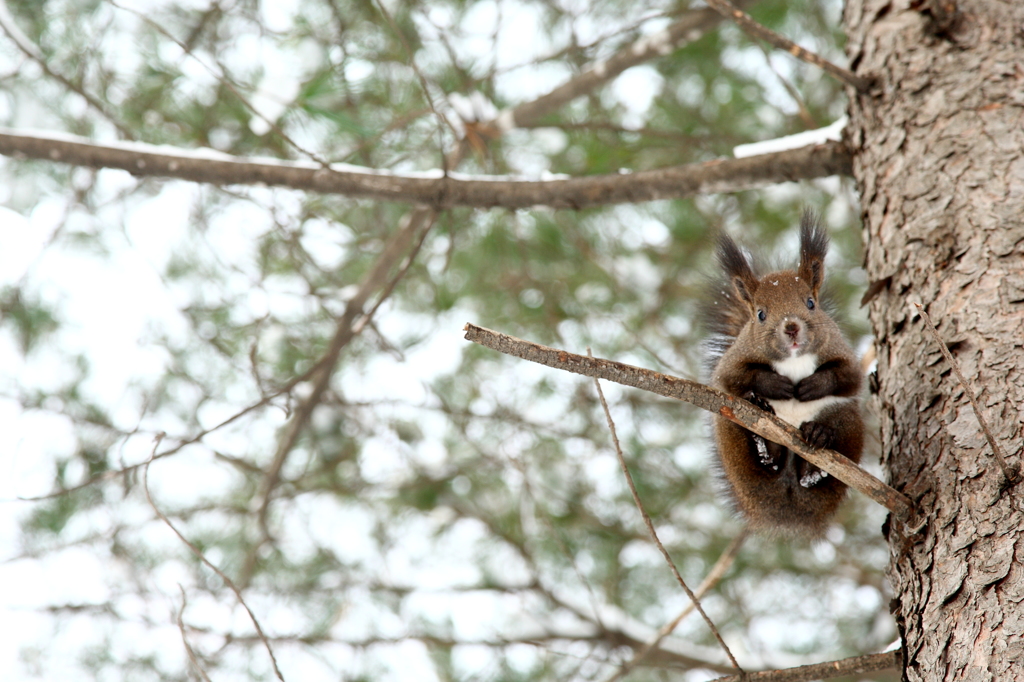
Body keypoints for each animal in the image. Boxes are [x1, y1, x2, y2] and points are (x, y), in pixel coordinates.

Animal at [704, 212, 864, 536]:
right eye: (760, 314)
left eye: (811, 303)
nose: (791, 327)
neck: (793, 360)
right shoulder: (732, 363)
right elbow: (734, 378)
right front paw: (776, 386)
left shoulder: (841, 352)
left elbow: (848, 378)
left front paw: (811, 386)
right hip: (731, 430)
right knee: (768, 460)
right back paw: (765, 443)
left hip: (847, 421)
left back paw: (816, 452)